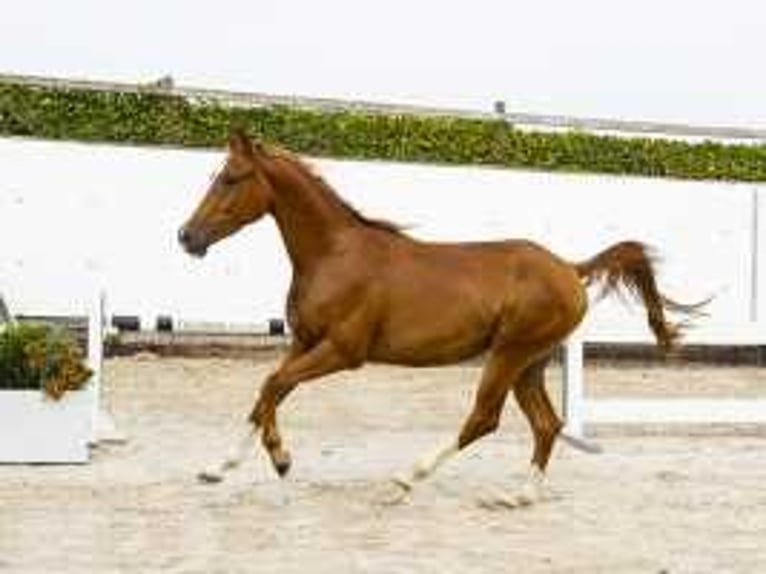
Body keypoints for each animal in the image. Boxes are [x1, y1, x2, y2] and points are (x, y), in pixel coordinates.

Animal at [178, 130, 704, 508]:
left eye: (230, 177)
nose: (186, 236)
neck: (334, 255)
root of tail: (570, 269)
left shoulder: (343, 352)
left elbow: (272, 386)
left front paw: (282, 459)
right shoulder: (304, 342)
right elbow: (268, 391)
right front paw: (218, 468)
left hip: (509, 354)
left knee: (484, 418)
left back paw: (404, 480)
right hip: (529, 362)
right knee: (546, 424)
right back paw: (519, 495)